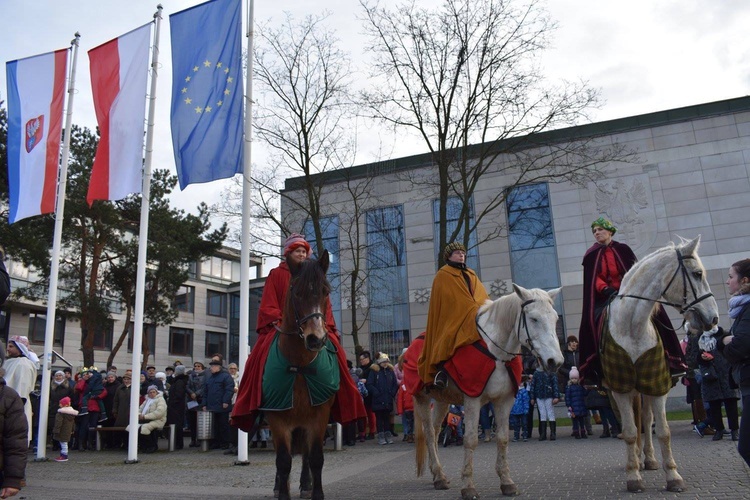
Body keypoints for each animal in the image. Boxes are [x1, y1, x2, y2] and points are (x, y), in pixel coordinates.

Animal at [266, 250, 334, 500]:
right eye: (296, 292)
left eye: (325, 291)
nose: (316, 339)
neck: (300, 366)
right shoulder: (277, 419)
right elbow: (283, 461)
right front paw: (282, 492)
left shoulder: (319, 416)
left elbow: (315, 457)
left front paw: (316, 492)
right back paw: (279, 485)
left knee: (305, 454)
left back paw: (305, 483)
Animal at [412, 284, 564, 498]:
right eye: (534, 318)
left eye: (555, 319)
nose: (555, 362)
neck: (496, 354)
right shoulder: (472, 399)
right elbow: (470, 440)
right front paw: (468, 485)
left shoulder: (504, 400)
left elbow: (502, 439)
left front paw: (507, 481)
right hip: (422, 399)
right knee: (428, 433)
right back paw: (439, 477)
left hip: (442, 400)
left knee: (435, 431)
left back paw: (438, 474)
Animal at [604, 236, 724, 494]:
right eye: (697, 273)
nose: (714, 318)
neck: (633, 327)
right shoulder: (620, 389)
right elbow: (629, 432)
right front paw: (633, 476)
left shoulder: (657, 385)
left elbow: (663, 432)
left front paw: (673, 476)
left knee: (647, 420)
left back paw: (648, 459)